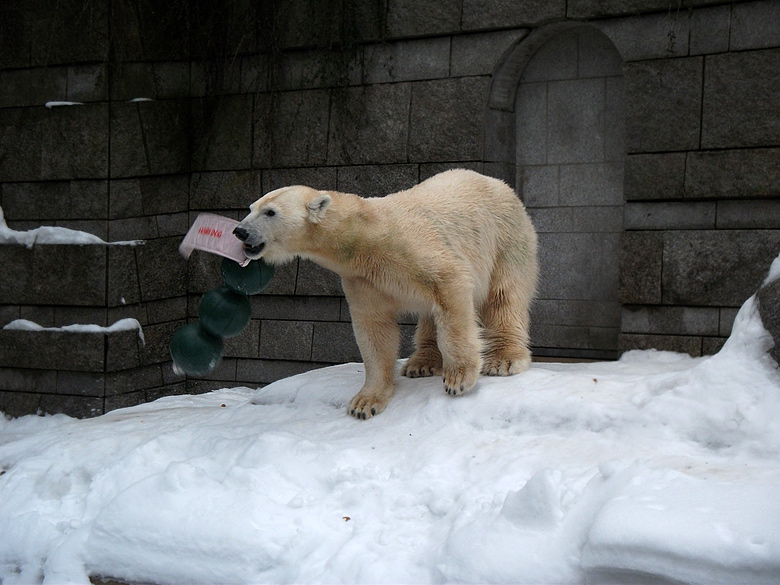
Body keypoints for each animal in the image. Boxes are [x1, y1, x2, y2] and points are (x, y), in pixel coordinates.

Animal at [233, 169, 536, 420]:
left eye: (270, 212)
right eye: (251, 208)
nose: (240, 230)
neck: (368, 236)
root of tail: (501, 184)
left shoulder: (416, 249)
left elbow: (452, 289)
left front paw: (459, 379)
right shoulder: (363, 280)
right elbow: (375, 330)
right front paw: (365, 402)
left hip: (506, 238)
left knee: (504, 295)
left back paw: (504, 359)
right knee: (430, 315)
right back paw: (421, 363)